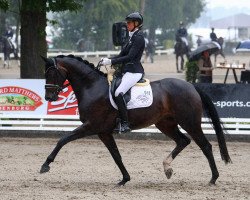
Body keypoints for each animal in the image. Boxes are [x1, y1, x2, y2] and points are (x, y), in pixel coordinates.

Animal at [40, 54, 230, 186]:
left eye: (52, 73)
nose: (49, 97)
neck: (91, 86)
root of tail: (191, 86)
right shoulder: (104, 132)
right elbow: (116, 155)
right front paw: (124, 179)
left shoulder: (91, 126)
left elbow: (63, 139)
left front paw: (45, 165)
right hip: (165, 124)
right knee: (183, 141)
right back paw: (167, 168)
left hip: (189, 122)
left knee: (205, 146)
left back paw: (213, 178)